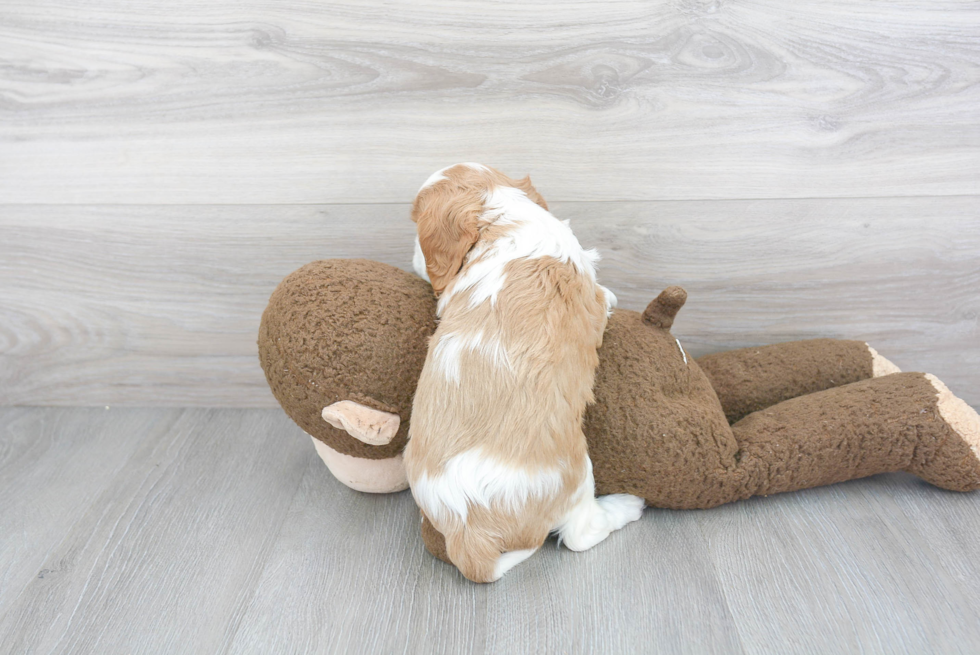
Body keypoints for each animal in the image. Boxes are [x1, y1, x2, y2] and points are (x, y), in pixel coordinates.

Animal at [404, 164, 644, 584]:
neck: (506, 216)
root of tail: (468, 534)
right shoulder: (589, 285)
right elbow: (604, 295)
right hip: (577, 472)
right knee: (580, 535)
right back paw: (626, 506)